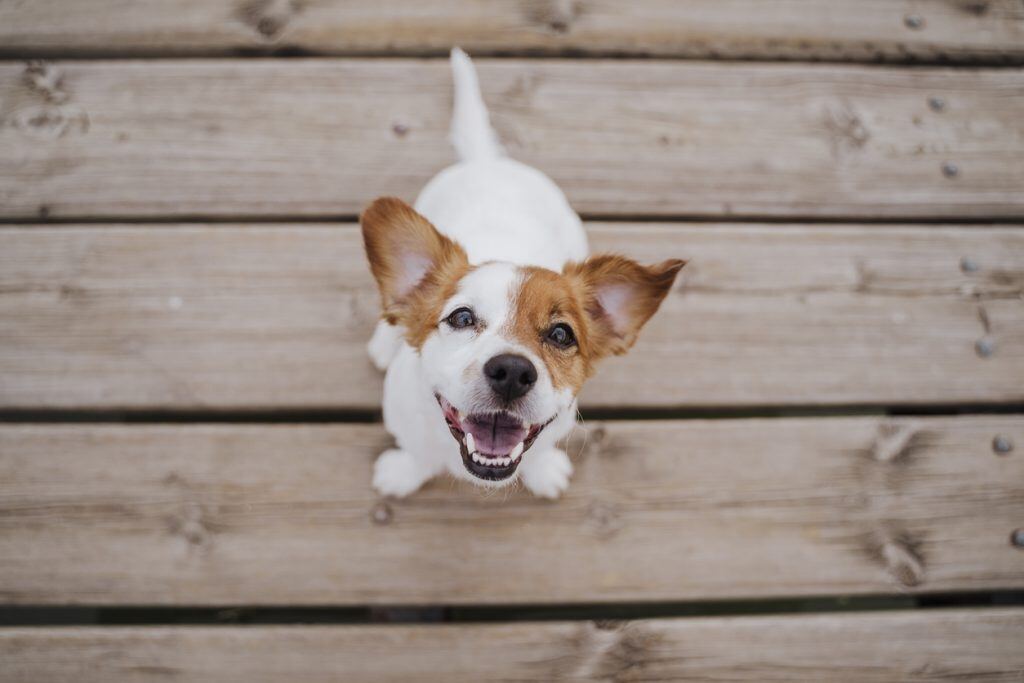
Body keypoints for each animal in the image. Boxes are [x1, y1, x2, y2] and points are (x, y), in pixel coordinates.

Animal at [364, 46, 684, 497]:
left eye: (562, 334)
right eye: (461, 317)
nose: (512, 372)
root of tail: (488, 160)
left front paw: (543, 471)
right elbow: (417, 452)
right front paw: (403, 473)